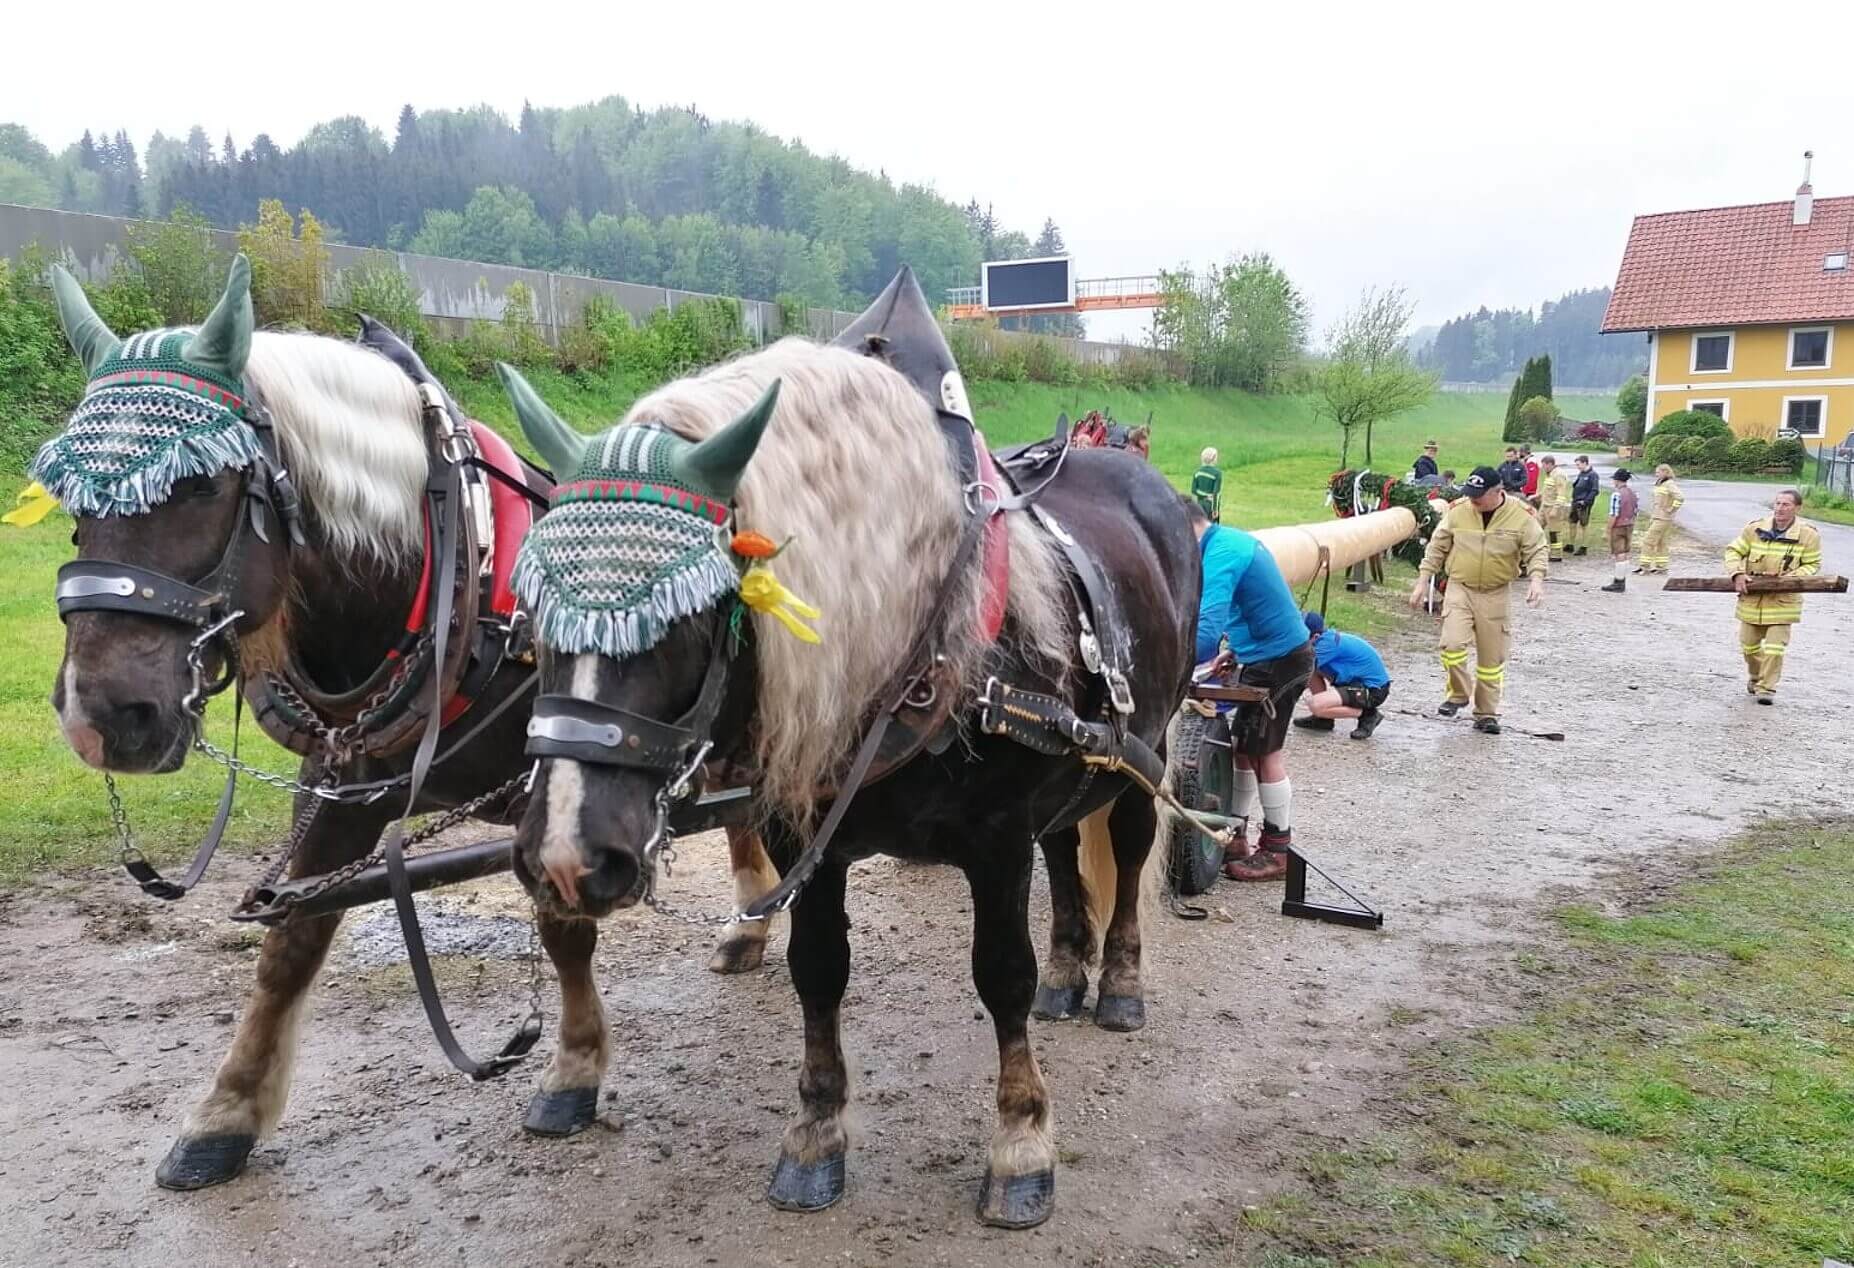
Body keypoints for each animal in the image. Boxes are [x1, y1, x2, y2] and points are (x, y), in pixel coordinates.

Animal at [493, 270, 1193, 1230]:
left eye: (691, 616)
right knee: (1066, 849)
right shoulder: (805, 838)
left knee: (1123, 850)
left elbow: (999, 976)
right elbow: (818, 971)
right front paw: (817, 1134)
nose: (567, 858)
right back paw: (1068, 969)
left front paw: (1020, 1141)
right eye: (530, 609)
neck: (920, 627)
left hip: (1140, 748)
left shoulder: (997, 840)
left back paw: (1118, 981)